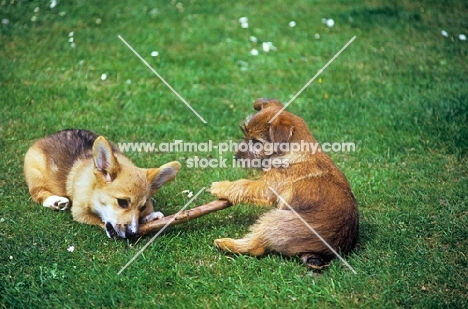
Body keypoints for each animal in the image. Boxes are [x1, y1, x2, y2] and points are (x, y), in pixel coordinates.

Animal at [23, 129, 182, 237]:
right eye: (122, 202)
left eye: (142, 207)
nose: (132, 234)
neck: (93, 193)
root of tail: (48, 137)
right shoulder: (79, 212)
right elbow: (99, 220)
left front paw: (149, 217)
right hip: (35, 173)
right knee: (37, 193)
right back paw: (55, 201)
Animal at [210, 98, 360, 268]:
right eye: (245, 135)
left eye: (257, 143)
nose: (236, 157)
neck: (292, 152)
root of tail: (328, 251)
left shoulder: (267, 187)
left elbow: (245, 184)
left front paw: (220, 186)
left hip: (274, 220)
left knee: (256, 247)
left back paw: (225, 244)